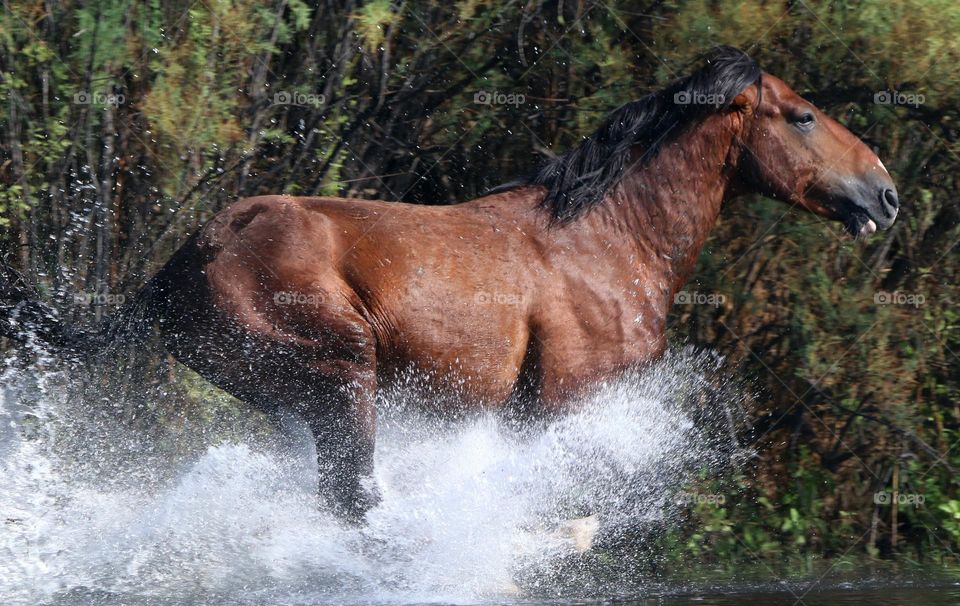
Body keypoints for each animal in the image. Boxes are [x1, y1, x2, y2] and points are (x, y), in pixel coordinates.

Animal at [0, 47, 899, 521]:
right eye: (802, 116)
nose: (885, 194)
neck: (607, 240)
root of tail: (184, 261)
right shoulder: (561, 405)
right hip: (342, 375)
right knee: (352, 499)